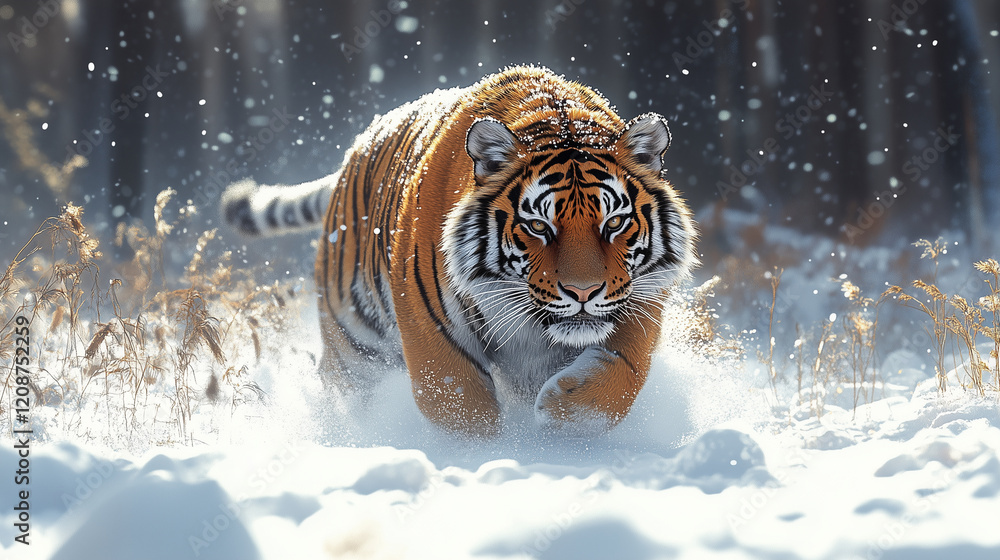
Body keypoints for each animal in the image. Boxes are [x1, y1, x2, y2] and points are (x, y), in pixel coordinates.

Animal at [222, 65, 697, 438]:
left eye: (613, 222)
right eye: (538, 226)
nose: (583, 293)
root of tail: (354, 151)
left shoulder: (642, 302)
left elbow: (619, 376)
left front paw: (557, 414)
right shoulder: (431, 331)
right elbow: (461, 410)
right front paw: (485, 454)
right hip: (355, 346)